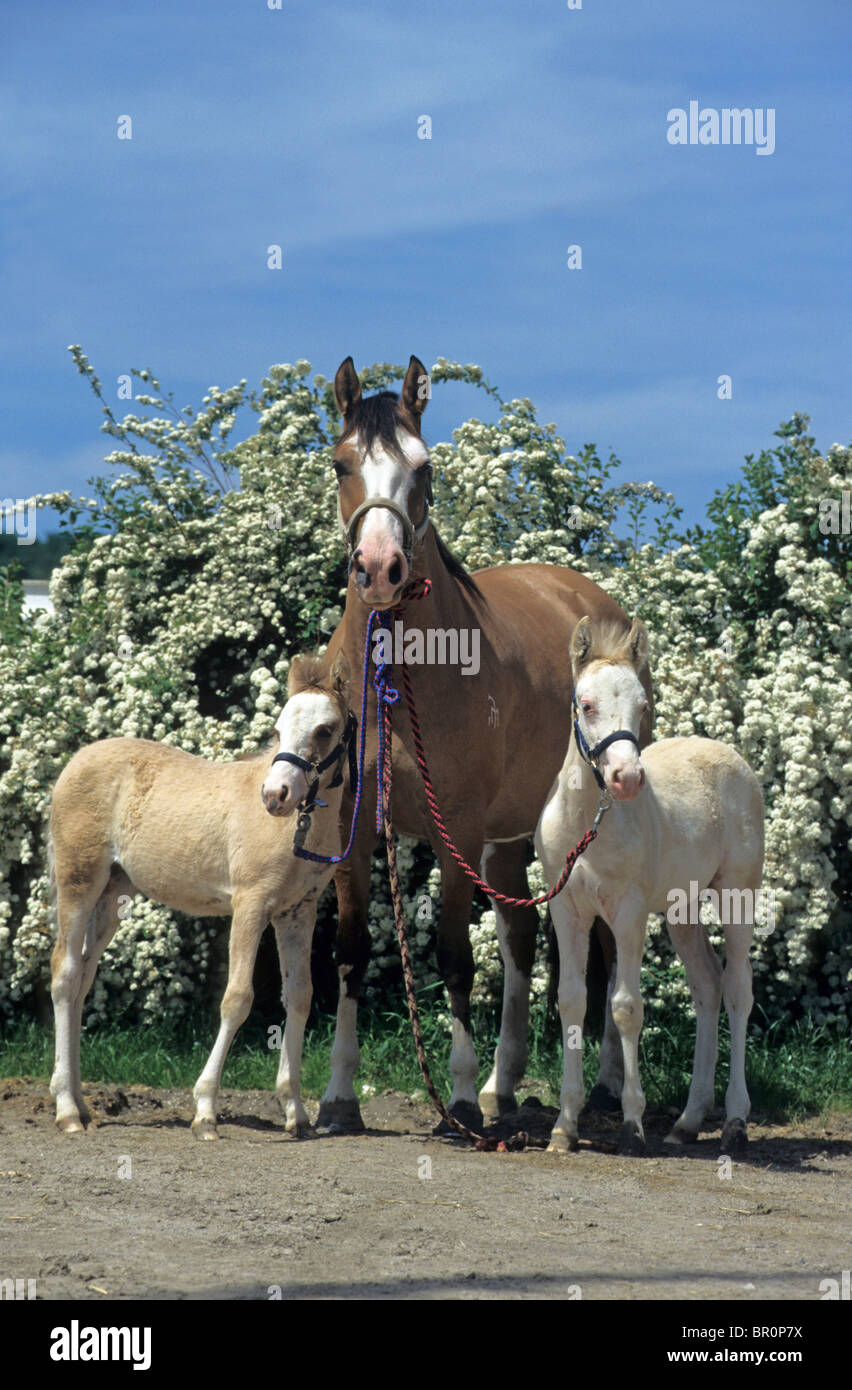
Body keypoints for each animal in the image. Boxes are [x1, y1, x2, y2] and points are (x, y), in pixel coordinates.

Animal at [530, 617, 761, 1150]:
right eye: (586, 705)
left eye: (643, 706)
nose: (627, 778)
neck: (587, 825)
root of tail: (728, 754)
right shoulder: (566, 911)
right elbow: (572, 1001)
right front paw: (564, 1126)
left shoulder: (629, 913)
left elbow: (625, 1007)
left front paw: (632, 1123)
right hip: (682, 910)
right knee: (707, 985)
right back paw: (688, 1120)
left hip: (738, 895)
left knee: (738, 989)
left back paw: (735, 1121)